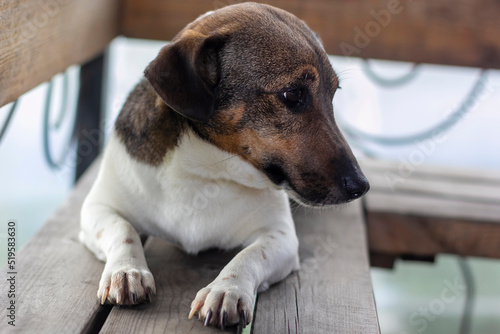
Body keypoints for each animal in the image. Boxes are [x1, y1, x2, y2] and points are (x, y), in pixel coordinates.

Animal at [80, 2, 370, 330]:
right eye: (293, 94)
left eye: (333, 94)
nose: (361, 186)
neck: (206, 170)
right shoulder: (97, 208)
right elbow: (122, 229)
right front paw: (127, 272)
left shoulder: (281, 237)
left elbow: (251, 255)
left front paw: (226, 290)